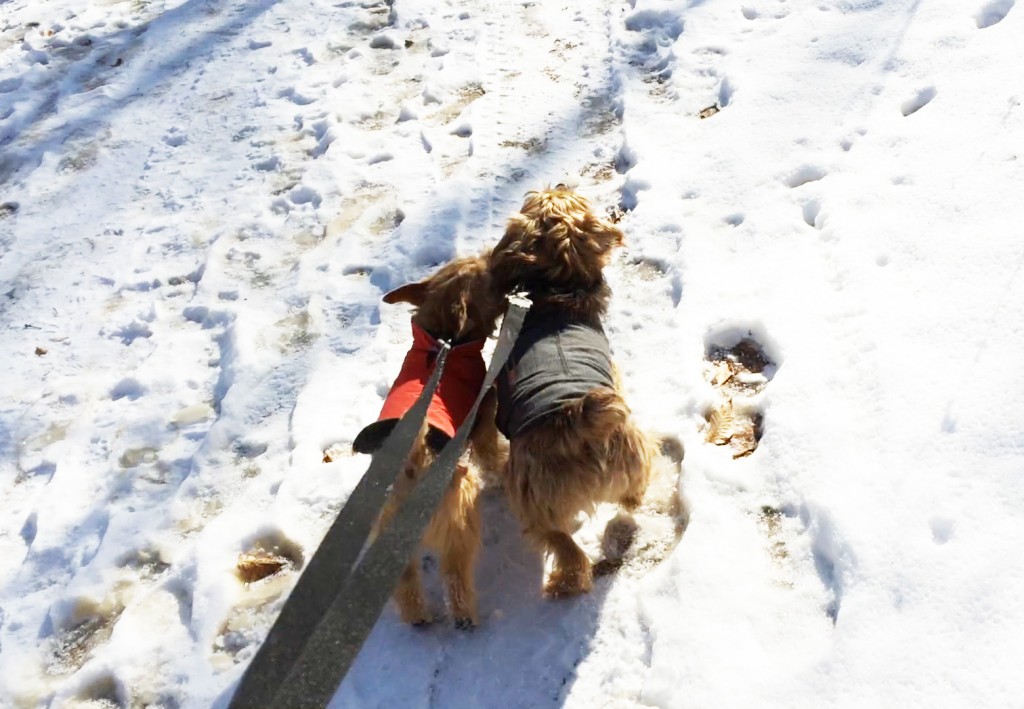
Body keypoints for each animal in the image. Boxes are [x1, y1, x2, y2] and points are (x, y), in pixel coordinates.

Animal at [354, 252, 505, 627]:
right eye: (488, 278)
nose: (493, 256)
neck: (443, 342)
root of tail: (411, 468)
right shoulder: (483, 421)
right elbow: (492, 457)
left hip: (390, 549)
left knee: (405, 583)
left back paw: (418, 618)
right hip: (459, 519)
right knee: (454, 574)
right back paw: (465, 618)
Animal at [485, 188, 679, 598]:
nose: (559, 181)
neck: (559, 288)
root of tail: (575, 421)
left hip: (535, 502)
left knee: (566, 547)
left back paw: (563, 585)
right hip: (630, 452)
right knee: (628, 496)